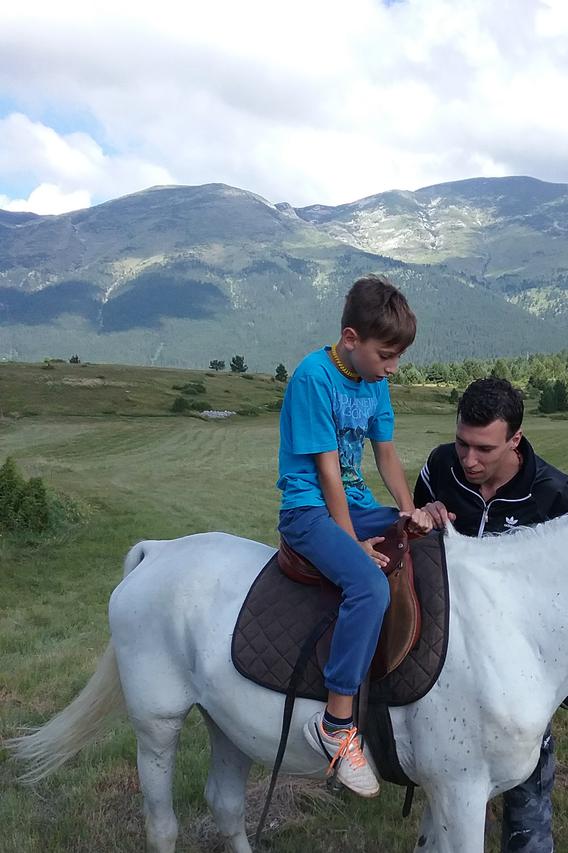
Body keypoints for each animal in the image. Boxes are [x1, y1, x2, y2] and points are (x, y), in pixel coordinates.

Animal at [8, 515, 568, 853]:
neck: (513, 618)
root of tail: (158, 551)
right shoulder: (461, 791)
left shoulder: (441, 793)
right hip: (157, 725)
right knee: (162, 824)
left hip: (227, 722)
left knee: (226, 806)